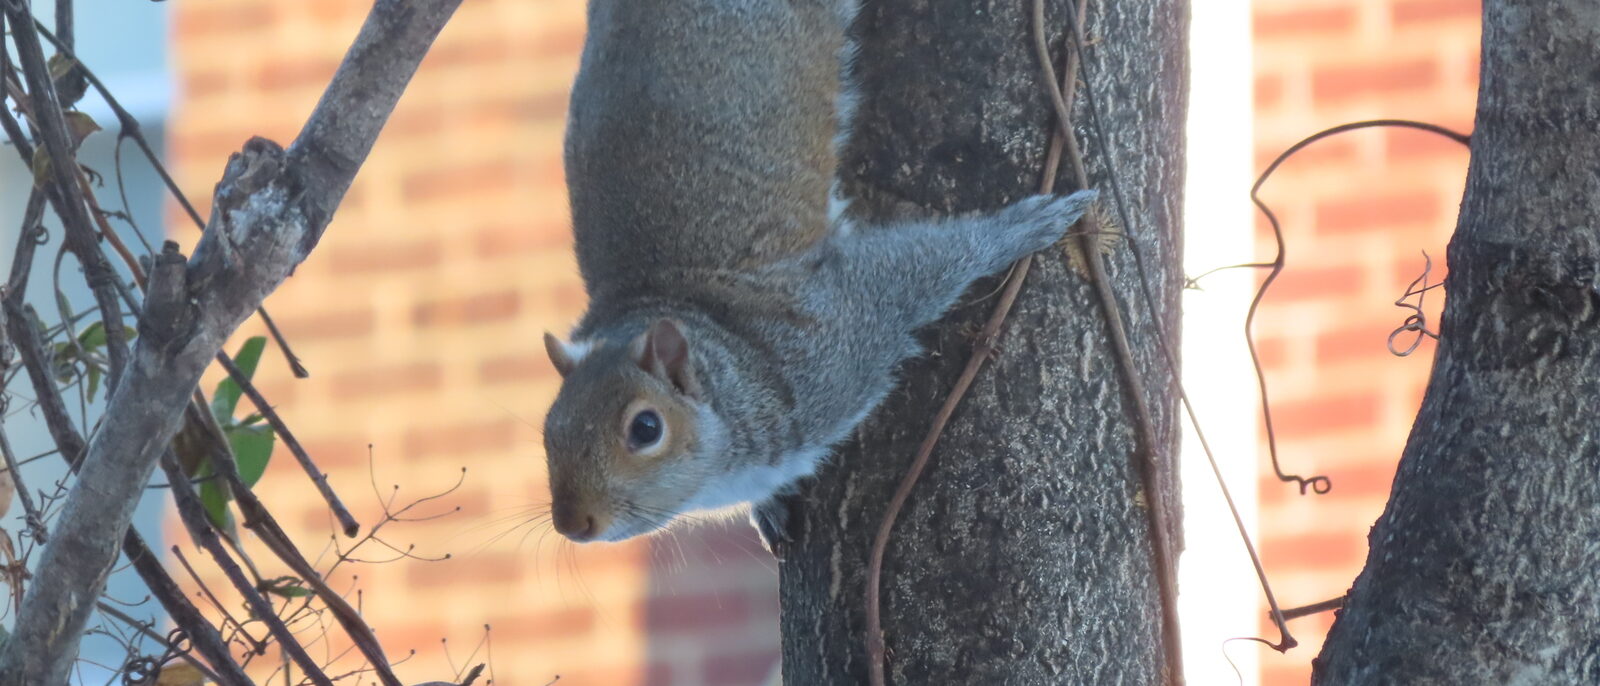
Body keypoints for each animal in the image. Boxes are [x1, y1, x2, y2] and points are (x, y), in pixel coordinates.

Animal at [542, 0, 1096, 551]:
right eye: (548, 431)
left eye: (646, 428)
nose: (573, 523)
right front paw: (766, 510)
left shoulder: (833, 336)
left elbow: (918, 269)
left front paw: (1022, 227)